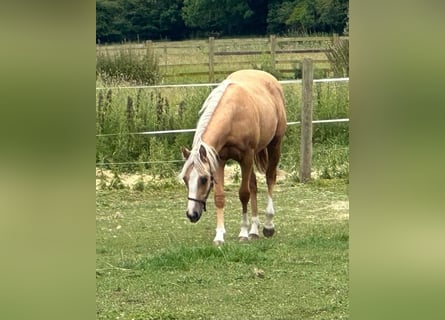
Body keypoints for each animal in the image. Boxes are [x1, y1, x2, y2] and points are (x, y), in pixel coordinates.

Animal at [179, 69, 286, 245]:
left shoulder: (246, 157)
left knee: (270, 177)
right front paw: (219, 235)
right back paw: (254, 230)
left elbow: (244, 194)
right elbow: (220, 197)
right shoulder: (219, 160)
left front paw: (243, 232)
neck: (233, 116)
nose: (191, 214)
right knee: (254, 185)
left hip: (274, 145)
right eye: (185, 179)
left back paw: (268, 225)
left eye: (203, 179)